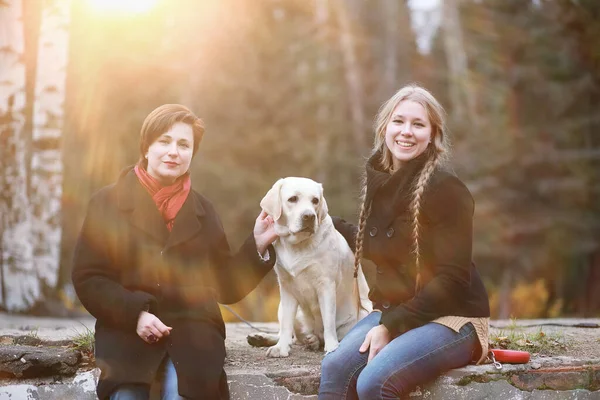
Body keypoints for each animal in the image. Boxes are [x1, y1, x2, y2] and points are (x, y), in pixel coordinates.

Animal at [247, 177, 370, 358]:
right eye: (292, 199)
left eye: (315, 201)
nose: (309, 216)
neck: (298, 245)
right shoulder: (286, 287)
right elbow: (286, 325)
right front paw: (281, 348)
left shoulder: (326, 285)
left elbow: (328, 321)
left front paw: (332, 347)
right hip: (282, 307)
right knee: (292, 335)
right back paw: (264, 338)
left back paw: (314, 341)